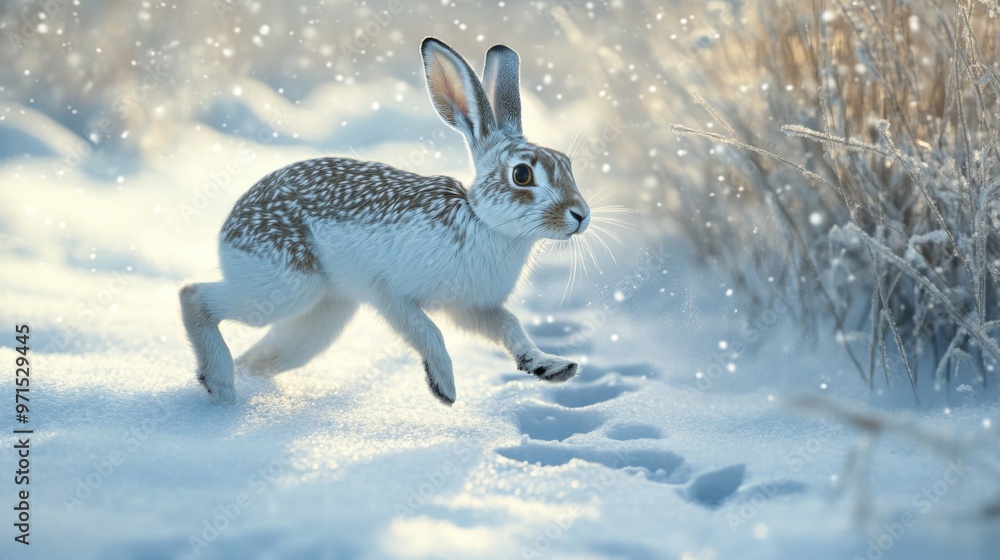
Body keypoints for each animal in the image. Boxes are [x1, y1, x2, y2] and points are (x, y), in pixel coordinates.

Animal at [180, 37, 591, 405]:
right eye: (522, 175)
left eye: (568, 164)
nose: (581, 215)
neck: (486, 223)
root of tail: (230, 225)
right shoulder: (389, 292)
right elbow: (428, 330)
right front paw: (444, 386)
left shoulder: (471, 308)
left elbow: (510, 326)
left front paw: (550, 366)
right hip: (281, 285)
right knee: (194, 295)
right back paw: (221, 387)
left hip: (323, 312)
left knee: (270, 352)